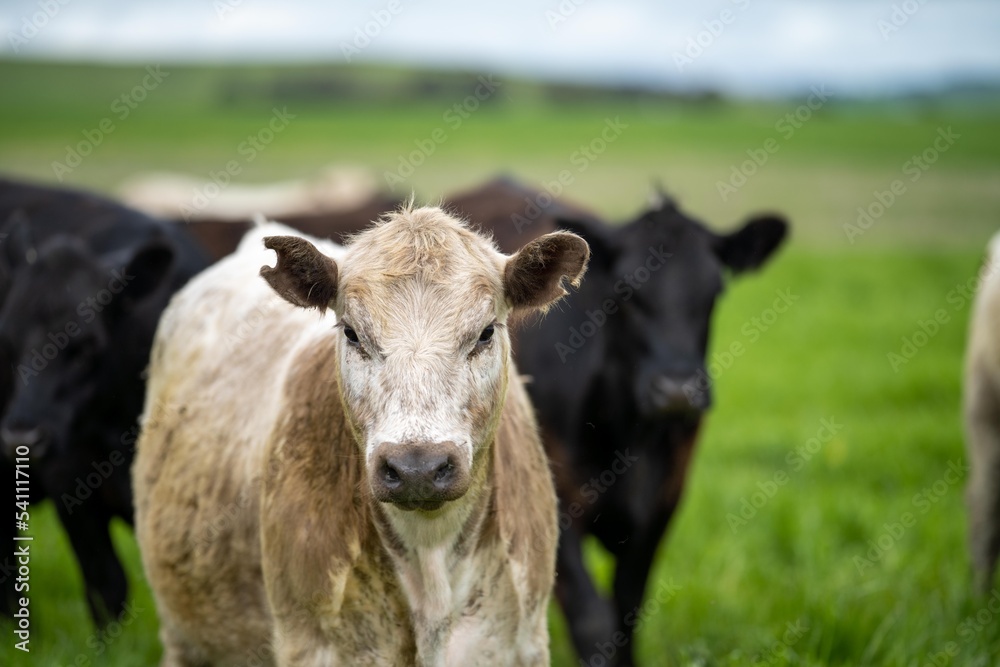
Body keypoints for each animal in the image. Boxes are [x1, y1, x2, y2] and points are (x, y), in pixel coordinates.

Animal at [454, 179, 788, 667]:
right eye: (625, 290)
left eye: (715, 290)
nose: (676, 390)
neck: (624, 434)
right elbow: (592, 621)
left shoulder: (660, 508)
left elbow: (626, 615)